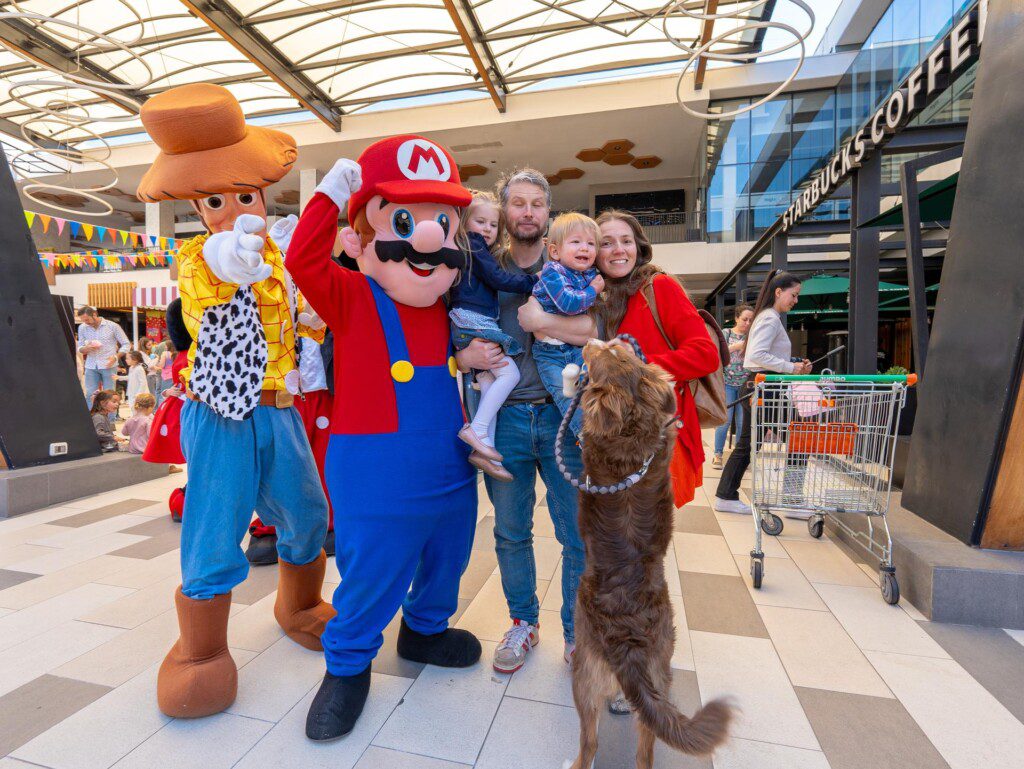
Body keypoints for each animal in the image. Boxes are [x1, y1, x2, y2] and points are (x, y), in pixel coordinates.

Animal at [569, 339, 729, 765]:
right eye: (618, 350)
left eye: (600, 356)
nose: (589, 340)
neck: (633, 427)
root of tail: (629, 643)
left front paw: (569, 378)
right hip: (660, 677)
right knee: (645, 753)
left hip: (583, 678)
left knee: (589, 744)